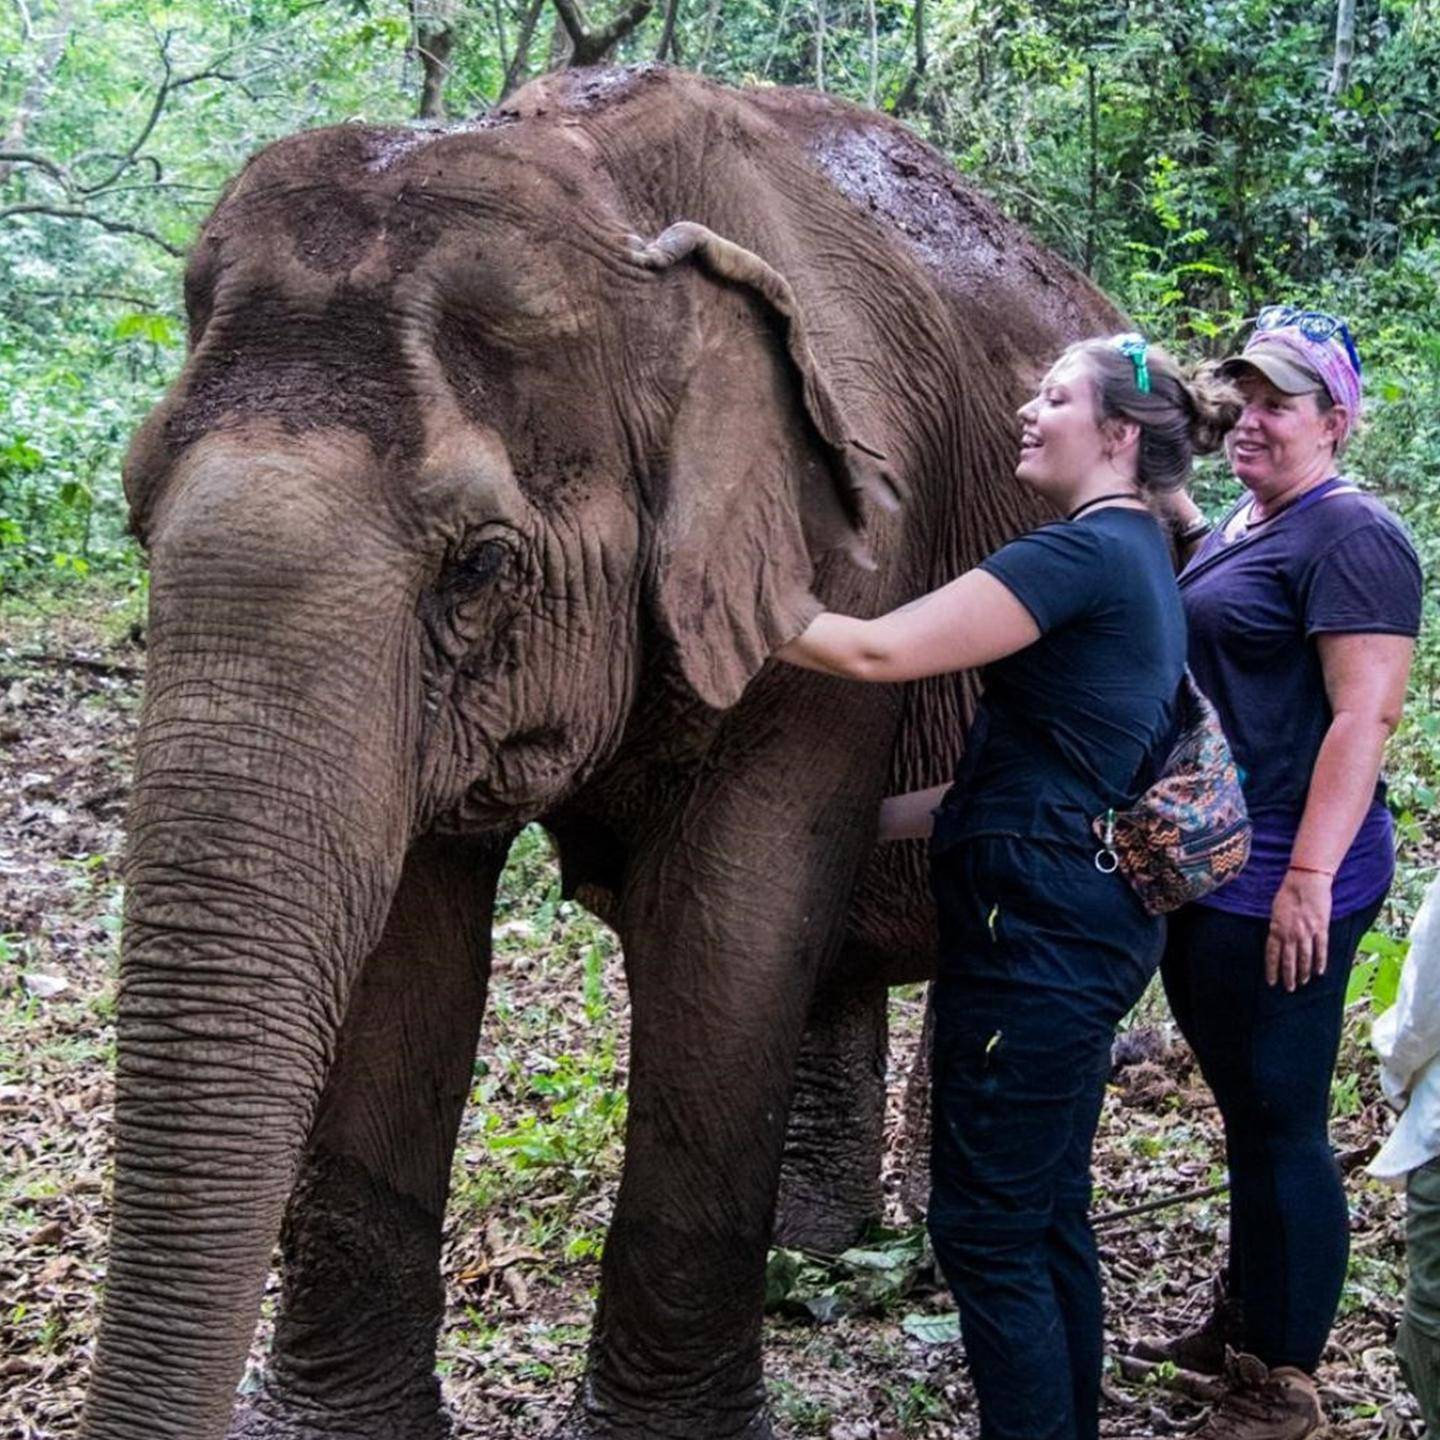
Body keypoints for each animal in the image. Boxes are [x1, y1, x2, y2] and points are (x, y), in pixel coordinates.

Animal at [81, 63, 1119, 1440]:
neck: (599, 190)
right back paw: (818, 1253)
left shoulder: (853, 561)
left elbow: (730, 929)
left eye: (480, 565)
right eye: (136, 518)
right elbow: (408, 949)